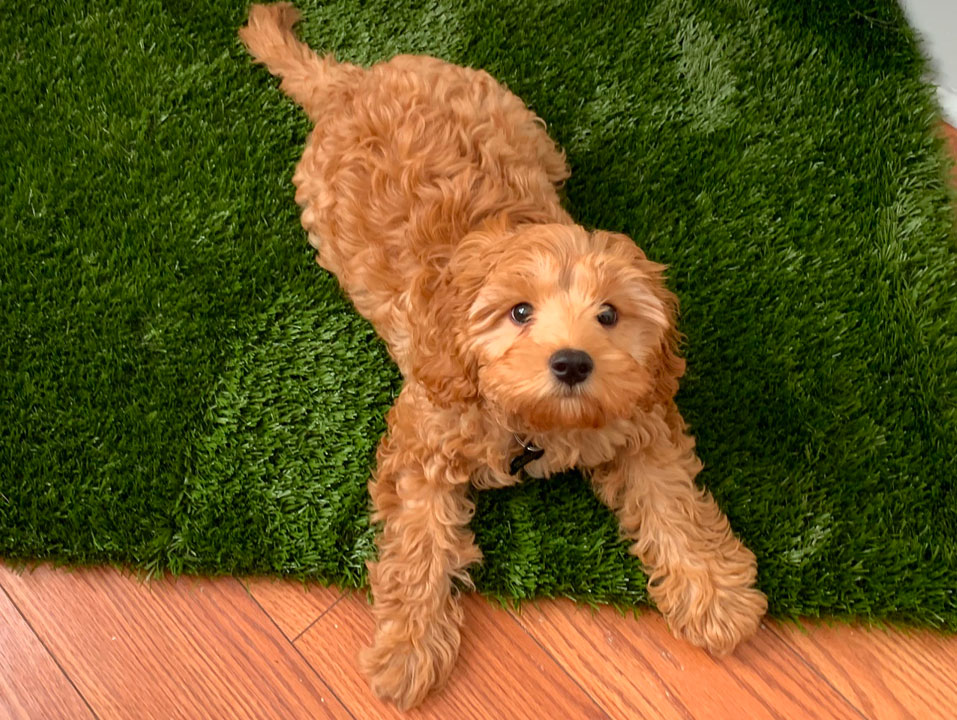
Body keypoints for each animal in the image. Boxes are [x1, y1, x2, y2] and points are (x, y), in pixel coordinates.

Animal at [241, 4, 768, 708]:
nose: (572, 363)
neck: (532, 421)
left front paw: (715, 593)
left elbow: (674, 500)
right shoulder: (425, 434)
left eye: (609, 315)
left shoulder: (638, 415)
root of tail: (353, 83)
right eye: (519, 312)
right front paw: (408, 649)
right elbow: (419, 544)